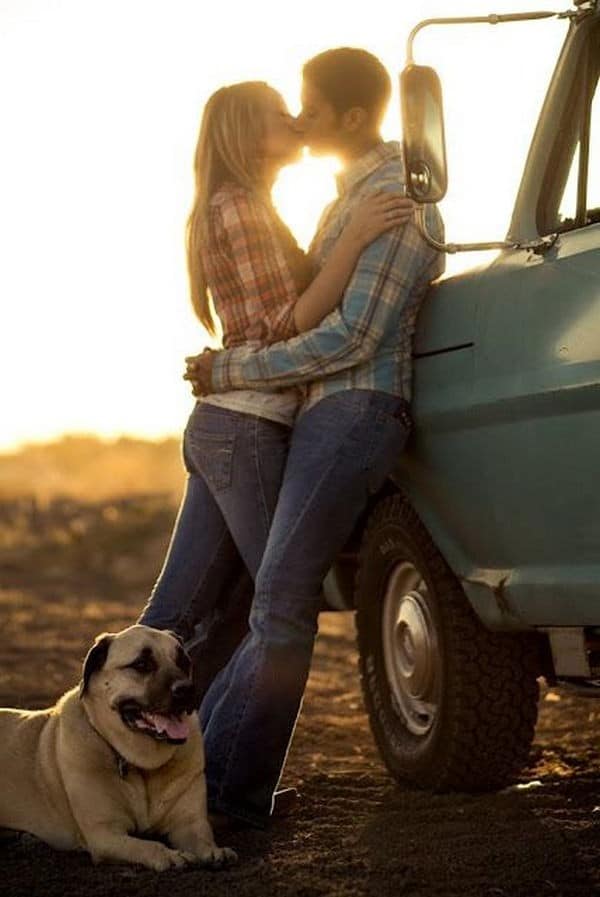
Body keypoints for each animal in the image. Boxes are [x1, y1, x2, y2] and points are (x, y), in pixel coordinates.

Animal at [0, 624, 237, 868]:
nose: (187, 689)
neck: (142, 766)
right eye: (141, 664)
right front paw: (170, 856)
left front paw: (214, 851)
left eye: (183, 662)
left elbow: (201, 838)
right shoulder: (105, 834)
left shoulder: (189, 823)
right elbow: (146, 846)